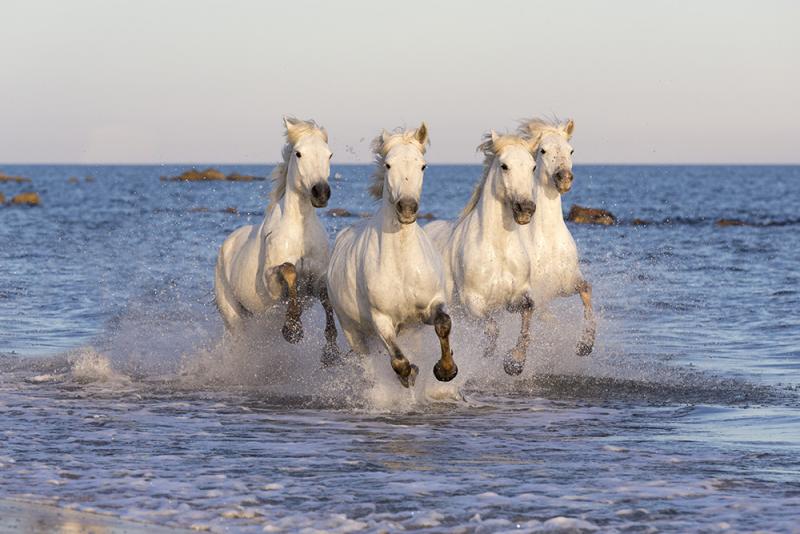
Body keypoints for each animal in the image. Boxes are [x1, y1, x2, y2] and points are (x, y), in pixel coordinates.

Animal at [212, 118, 338, 366]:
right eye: (298, 153)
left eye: (329, 154)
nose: (320, 193)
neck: (299, 232)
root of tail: (226, 246)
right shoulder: (270, 284)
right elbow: (289, 271)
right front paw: (293, 329)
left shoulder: (315, 280)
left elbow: (326, 298)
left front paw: (331, 352)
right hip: (233, 315)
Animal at [326, 123, 456, 388]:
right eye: (388, 165)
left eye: (422, 165)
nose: (407, 208)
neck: (402, 263)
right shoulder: (382, 319)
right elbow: (399, 361)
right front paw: (411, 374)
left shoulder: (430, 306)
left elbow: (443, 324)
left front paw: (446, 370)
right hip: (352, 331)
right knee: (367, 358)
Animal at [424, 132, 536, 376]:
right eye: (504, 166)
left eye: (533, 166)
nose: (525, 209)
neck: (498, 249)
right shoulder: (473, 302)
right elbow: (492, 328)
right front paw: (486, 355)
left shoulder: (516, 296)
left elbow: (528, 310)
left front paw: (515, 361)